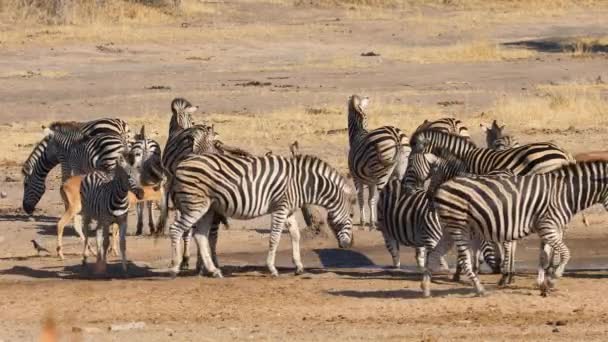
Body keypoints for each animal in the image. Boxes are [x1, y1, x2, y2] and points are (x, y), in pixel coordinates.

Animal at [169, 152, 354, 278]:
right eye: (352, 215)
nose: (349, 245)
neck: (302, 183)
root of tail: (182, 163)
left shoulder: (289, 210)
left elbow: (295, 235)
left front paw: (299, 266)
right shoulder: (280, 207)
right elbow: (275, 237)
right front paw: (272, 268)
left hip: (208, 208)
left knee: (200, 235)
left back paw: (214, 271)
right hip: (195, 205)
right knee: (175, 229)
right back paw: (175, 267)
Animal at [346, 94, 408, 230]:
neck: (358, 132)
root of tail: (396, 135)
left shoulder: (356, 177)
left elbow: (361, 198)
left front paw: (364, 222)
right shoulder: (371, 181)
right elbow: (371, 200)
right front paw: (371, 222)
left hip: (381, 173)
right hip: (401, 170)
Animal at [432, 161, 608, 296]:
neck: (564, 194)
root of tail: (442, 186)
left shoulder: (548, 229)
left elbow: (544, 257)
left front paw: (542, 285)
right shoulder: (548, 227)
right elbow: (566, 253)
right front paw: (551, 280)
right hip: (459, 226)